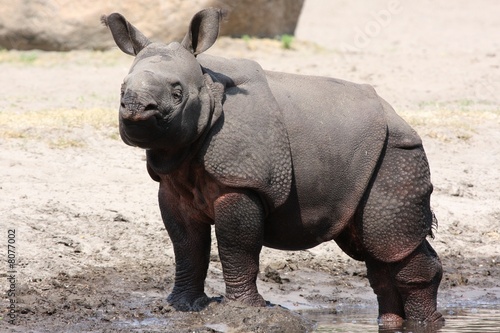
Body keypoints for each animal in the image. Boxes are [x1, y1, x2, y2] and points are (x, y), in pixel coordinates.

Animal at [101, 7, 442, 324]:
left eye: (177, 93)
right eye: (121, 90)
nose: (135, 108)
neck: (208, 86)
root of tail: (398, 116)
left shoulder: (243, 182)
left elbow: (237, 246)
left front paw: (241, 308)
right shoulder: (173, 184)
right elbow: (186, 245)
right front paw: (182, 305)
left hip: (395, 151)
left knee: (387, 241)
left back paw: (424, 323)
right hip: (368, 156)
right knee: (374, 249)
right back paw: (393, 322)